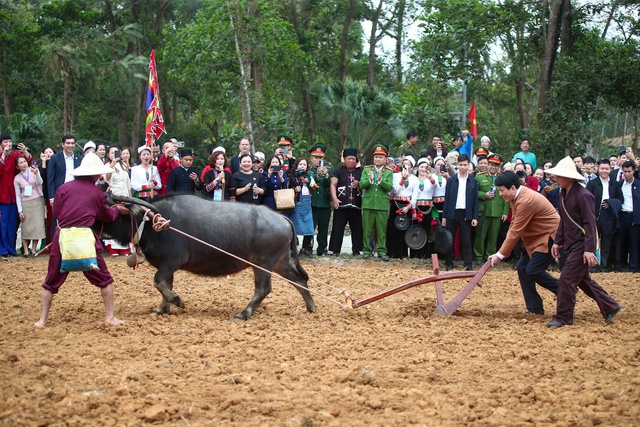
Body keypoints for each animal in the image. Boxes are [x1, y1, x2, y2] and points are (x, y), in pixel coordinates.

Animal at [95, 195, 318, 320]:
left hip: (262, 262)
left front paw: (177, 301)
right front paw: (162, 310)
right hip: (280, 261)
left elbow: (158, 281)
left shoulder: (173, 261)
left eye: (109, 206)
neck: (152, 223)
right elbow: (165, 284)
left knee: (264, 289)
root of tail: (282, 218)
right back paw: (311, 307)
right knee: (299, 280)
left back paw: (243, 314)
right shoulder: (167, 266)